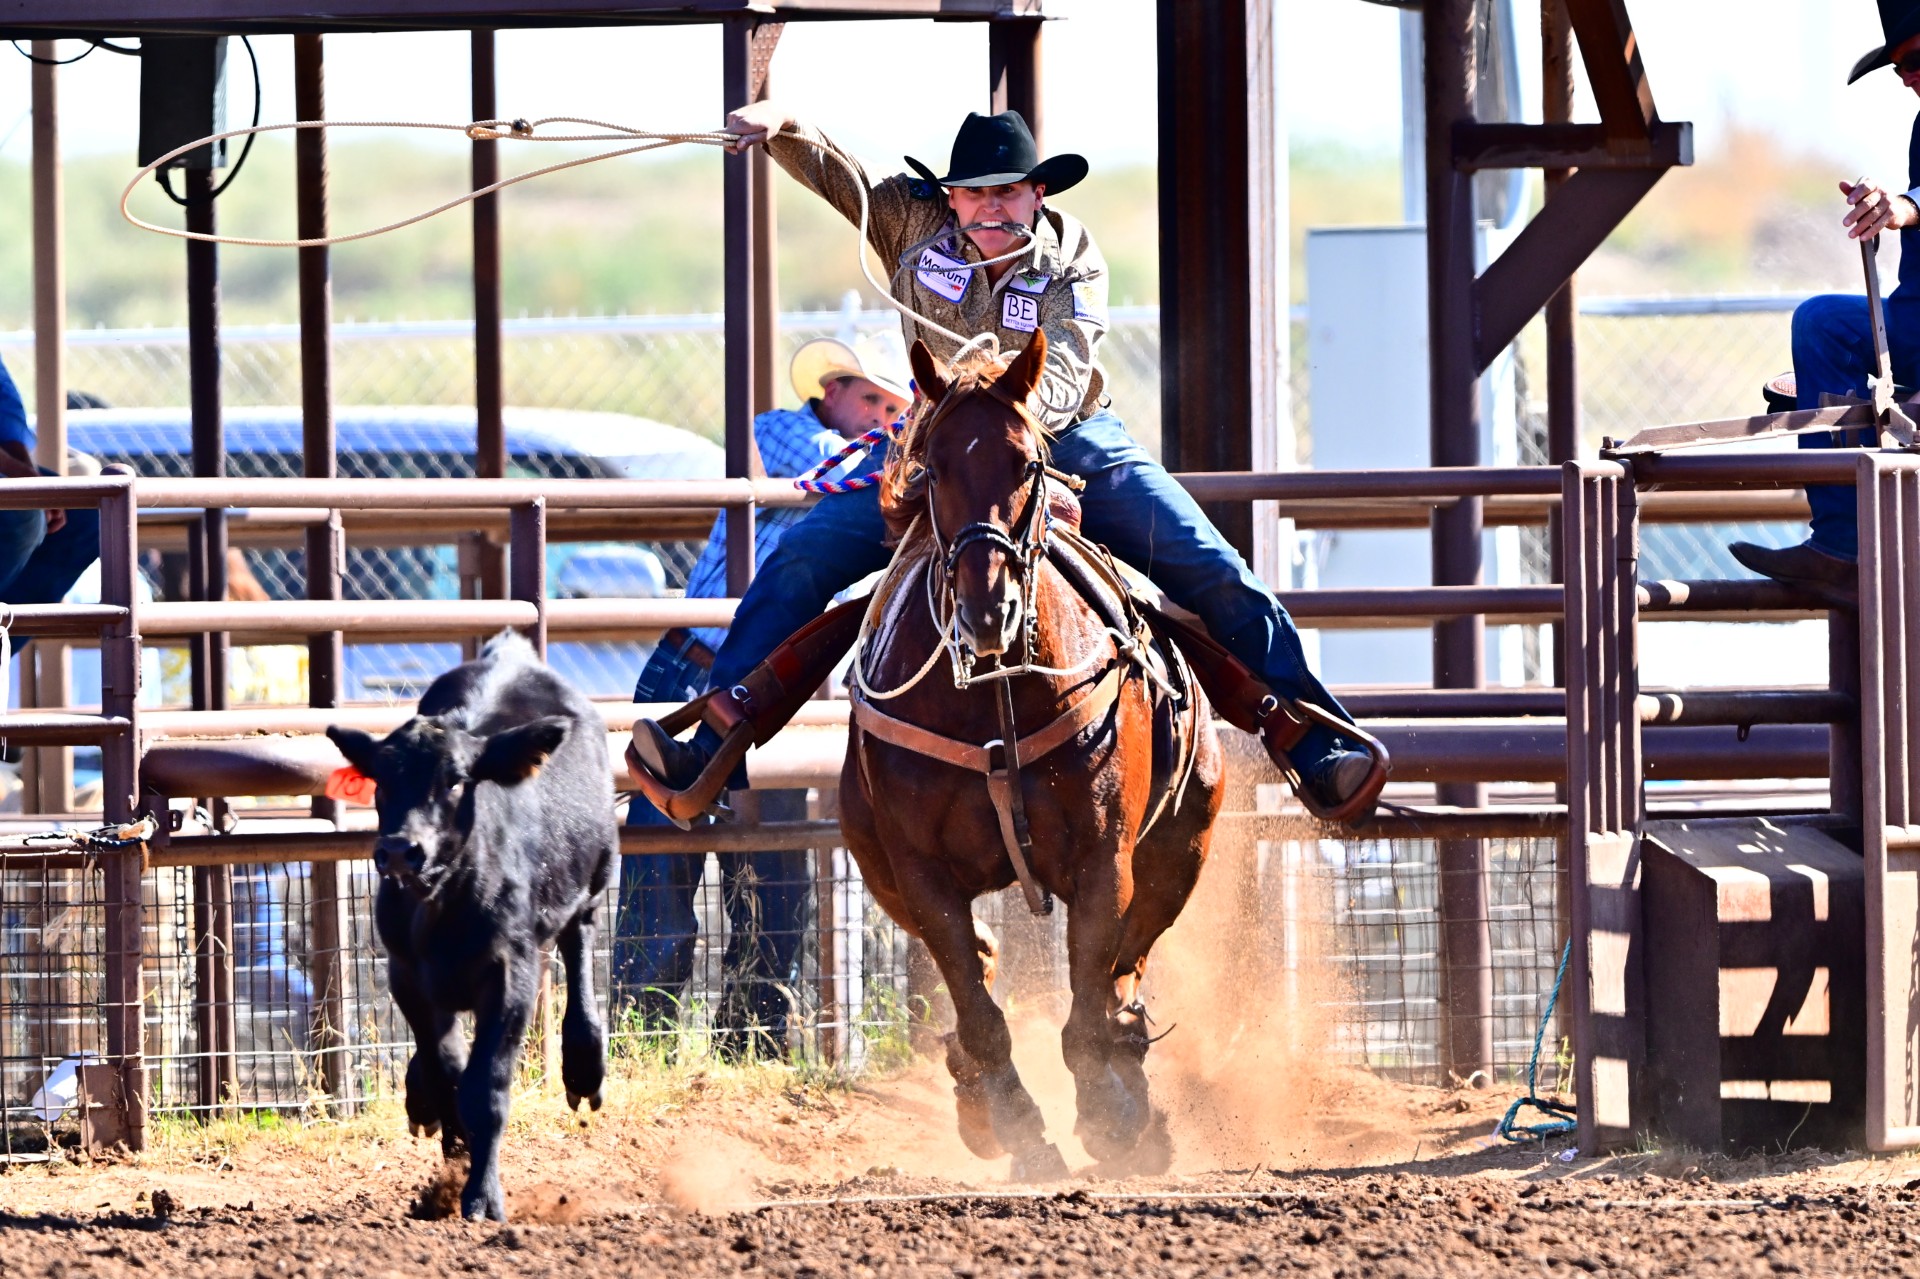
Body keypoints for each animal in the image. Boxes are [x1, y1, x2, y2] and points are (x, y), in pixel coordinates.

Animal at [837, 330, 1221, 1175]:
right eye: (934, 466)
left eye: (1028, 464)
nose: (990, 609)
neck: (994, 696)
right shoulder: (919, 872)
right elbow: (978, 1004)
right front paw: (1017, 1123)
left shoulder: (1105, 856)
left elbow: (1088, 993)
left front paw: (1110, 1111)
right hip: (876, 865)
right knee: (982, 972)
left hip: (1185, 842)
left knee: (1127, 963)